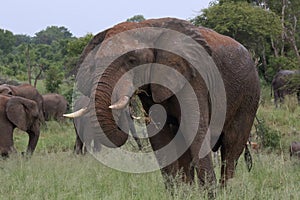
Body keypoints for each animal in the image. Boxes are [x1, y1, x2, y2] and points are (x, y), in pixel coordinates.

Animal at [65, 17, 260, 192]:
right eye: (94, 64)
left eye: (132, 60)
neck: (148, 27)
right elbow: (160, 137)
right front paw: (177, 194)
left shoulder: (194, 77)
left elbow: (196, 130)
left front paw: (210, 194)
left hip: (249, 96)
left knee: (231, 147)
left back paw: (225, 191)